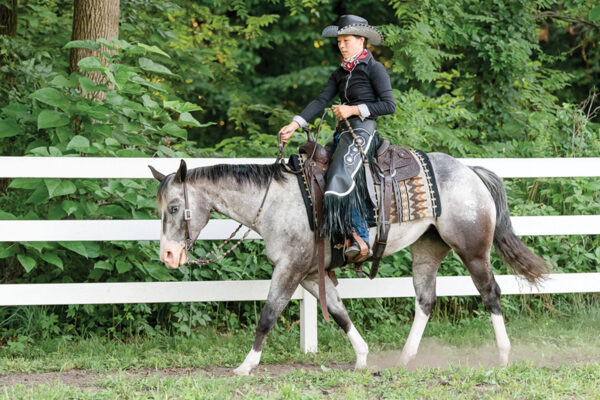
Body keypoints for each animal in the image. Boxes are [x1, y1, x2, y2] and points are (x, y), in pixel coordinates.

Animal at [148, 152, 548, 376]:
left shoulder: (290, 269)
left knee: (490, 293)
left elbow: (268, 315)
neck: (276, 201)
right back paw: (405, 357)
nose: (167, 255)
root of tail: (470, 171)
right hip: (427, 250)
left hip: (473, 250)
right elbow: (339, 313)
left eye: (175, 207)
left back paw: (503, 355)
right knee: (426, 300)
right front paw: (362, 357)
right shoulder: (312, 274)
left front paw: (246, 365)